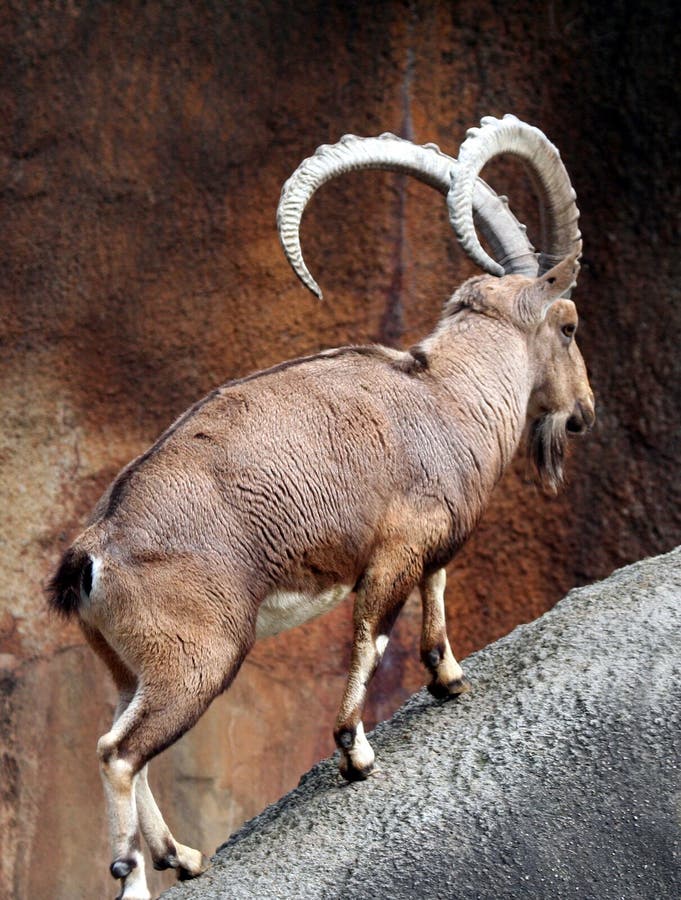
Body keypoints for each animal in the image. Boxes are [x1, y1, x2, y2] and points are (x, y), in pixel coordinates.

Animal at [48, 115, 594, 900]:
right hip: (198, 657)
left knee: (128, 739)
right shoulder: (392, 551)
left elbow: (434, 596)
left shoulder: (431, 543)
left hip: (131, 665)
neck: (447, 394)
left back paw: (185, 856)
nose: (583, 414)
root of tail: (94, 552)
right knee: (119, 753)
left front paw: (449, 679)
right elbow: (373, 635)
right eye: (568, 325)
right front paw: (355, 755)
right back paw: (136, 878)